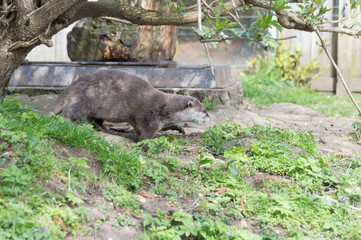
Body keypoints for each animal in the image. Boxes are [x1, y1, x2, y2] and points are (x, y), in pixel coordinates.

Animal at [45, 69, 208, 140]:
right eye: (204, 110)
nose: (209, 117)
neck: (166, 107)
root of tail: (70, 87)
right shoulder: (147, 118)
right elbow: (144, 133)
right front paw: (152, 139)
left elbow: (166, 126)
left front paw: (178, 127)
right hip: (82, 101)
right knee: (69, 113)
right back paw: (75, 124)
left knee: (94, 121)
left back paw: (109, 130)